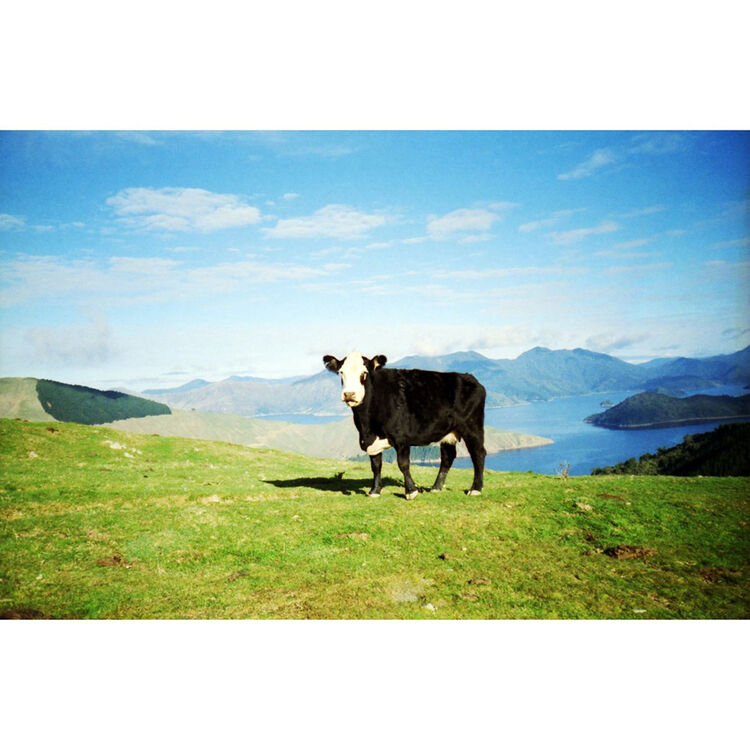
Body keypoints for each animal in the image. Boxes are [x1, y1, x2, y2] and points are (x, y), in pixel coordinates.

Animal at [323, 351, 486, 500]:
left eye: (364, 373)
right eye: (341, 372)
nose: (349, 394)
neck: (367, 425)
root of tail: (469, 378)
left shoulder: (401, 437)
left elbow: (403, 464)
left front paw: (411, 491)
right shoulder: (370, 441)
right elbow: (376, 465)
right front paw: (374, 491)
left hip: (472, 427)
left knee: (478, 453)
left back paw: (475, 489)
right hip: (447, 432)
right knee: (448, 456)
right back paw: (436, 487)